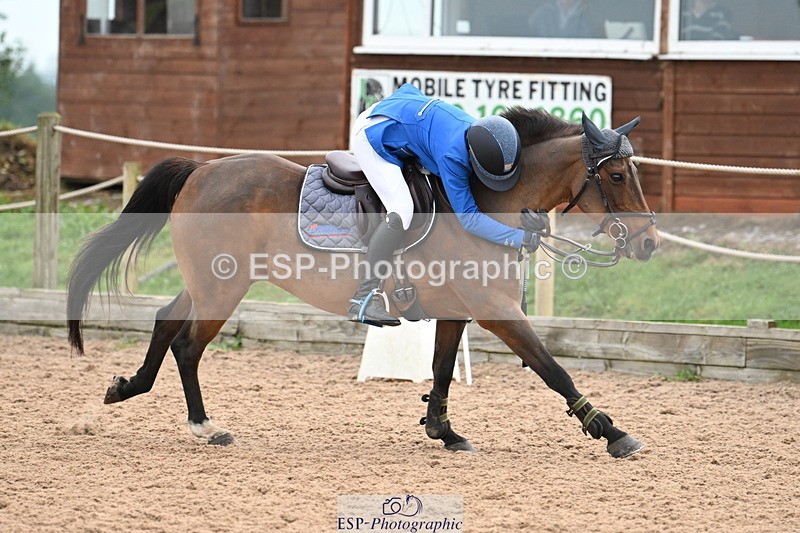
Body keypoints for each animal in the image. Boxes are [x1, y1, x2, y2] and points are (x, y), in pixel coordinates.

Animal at [66, 109, 659, 458]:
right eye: (615, 175)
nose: (649, 243)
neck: (488, 198)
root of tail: (199, 171)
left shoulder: (456, 312)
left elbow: (441, 370)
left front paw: (443, 431)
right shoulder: (497, 312)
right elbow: (553, 370)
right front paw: (611, 432)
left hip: (206, 283)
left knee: (166, 321)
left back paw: (128, 387)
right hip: (221, 289)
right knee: (188, 345)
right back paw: (204, 426)